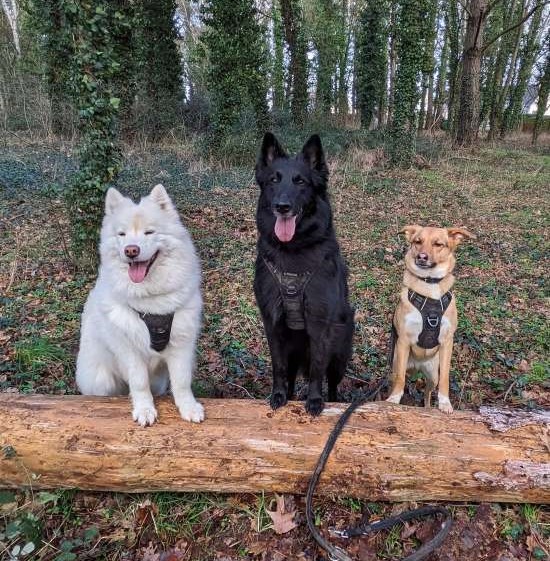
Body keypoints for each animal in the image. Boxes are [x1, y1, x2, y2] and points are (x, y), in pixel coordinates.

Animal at [76, 184, 206, 424]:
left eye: (149, 232)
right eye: (122, 234)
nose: (131, 250)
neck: (151, 300)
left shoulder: (181, 344)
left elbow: (182, 382)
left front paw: (189, 408)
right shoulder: (129, 349)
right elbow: (139, 382)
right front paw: (144, 410)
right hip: (101, 380)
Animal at [253, 132, 354, 416]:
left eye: (300, 181)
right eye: (274, 180)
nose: (282, 206)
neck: (293, 249)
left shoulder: (320, 324)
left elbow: (317, 368)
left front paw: (315, 400)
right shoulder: (273, 323)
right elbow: (278, 366)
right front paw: (278, 395)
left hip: (339, 352)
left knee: (332, 381)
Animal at [386, 225, 476, 414]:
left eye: (438, 244)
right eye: (417, 241)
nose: (421, 257)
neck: (429, 284)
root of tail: (418, 365)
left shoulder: (447, 341)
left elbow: (445, 378)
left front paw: (445, 403)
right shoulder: (403, 340)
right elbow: (400, 380)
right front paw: (394, 399)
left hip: (432, 375)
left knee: (427, 393)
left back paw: (428, 408)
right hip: (396, 366)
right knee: (398, 378)